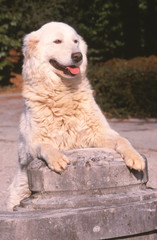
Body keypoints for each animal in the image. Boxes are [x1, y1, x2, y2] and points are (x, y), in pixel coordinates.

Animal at [7, 22, 144, 210]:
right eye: (57, 41)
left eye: (75, 41)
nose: (78, 56)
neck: (63, 92)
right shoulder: (32, 144)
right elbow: (45, 146)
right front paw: (57, 158)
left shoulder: (99, 134)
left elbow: (123, 140)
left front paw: (135, 157)